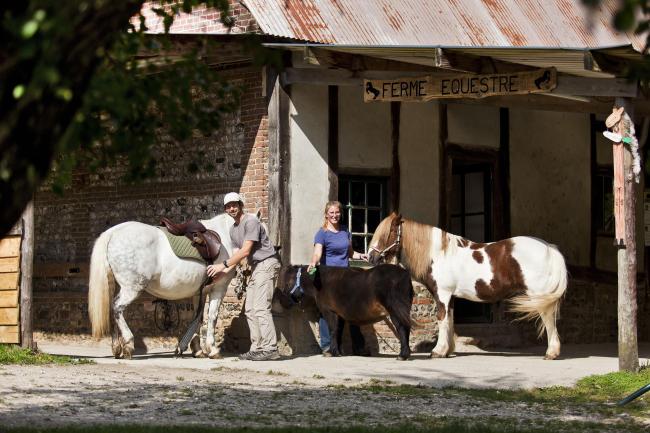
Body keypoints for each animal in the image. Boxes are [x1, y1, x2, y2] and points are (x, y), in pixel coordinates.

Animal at [278, 264, 412, 358]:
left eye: (287, 283)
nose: (282, 302)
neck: (320, 282)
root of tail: (404, 274)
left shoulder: (329, 311)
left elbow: (333, 330)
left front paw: (333, 352)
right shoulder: (340, 314)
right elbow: (339, 331)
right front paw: (338, 350)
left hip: (395, 311)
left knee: (402, 329)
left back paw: (402, 355)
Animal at [368, 212, 564, 358]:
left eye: (388, 233)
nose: (371, 257)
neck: (439, 254)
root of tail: (549, 247)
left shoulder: (443, 295)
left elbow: (442, 319)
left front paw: (438, 351)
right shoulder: (451, 297)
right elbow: (450, 320)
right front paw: (447, 350)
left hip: (539, 296)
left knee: (548, 319)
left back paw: (551, 353)